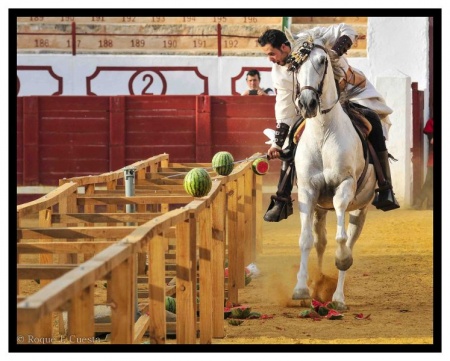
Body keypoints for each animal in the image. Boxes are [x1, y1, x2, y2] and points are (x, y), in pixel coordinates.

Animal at [288, 36, 376, 308]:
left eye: (322, 60)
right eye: (293, 65)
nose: (307, 103)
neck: (323, 132)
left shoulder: (344, 186)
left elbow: (342, 241)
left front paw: (341, 263)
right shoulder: (307, 191)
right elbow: (305, 240)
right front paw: (301, 289)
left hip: (361, 207)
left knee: (349, 238)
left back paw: (337, 297)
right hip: (319, 209)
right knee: (319, 242)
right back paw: (318, 283)